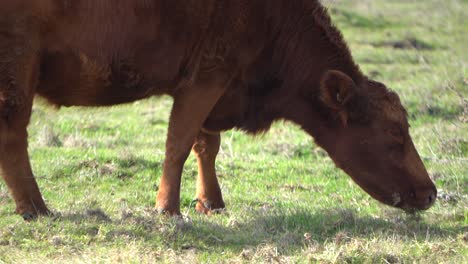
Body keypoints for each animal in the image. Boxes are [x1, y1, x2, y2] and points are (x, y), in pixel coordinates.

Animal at [0, 0, 436, 219]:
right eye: (394, 134)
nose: (431, 192)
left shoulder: (212, 86)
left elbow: (205, 146)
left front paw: (211, 202)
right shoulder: (207, 77)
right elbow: (177, 145)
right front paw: (168, 209)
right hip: (17, 65)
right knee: (13, 134)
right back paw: (35, 208)